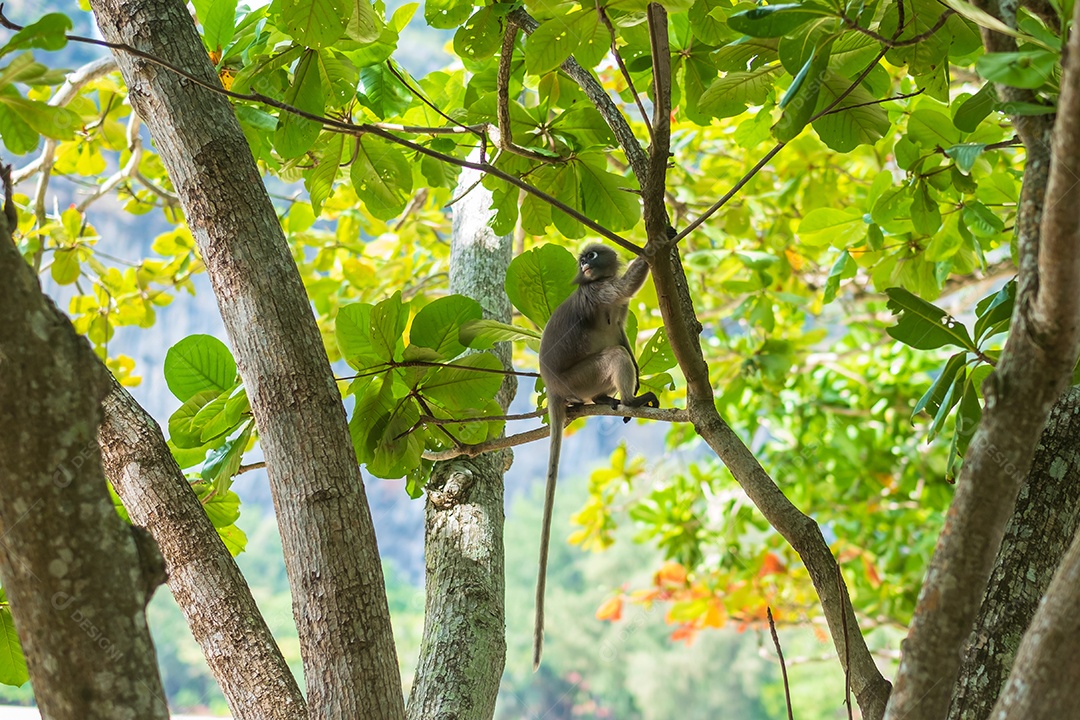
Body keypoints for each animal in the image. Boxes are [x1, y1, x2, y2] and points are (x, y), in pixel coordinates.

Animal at [531, 241, 656, 669]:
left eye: (591, 257)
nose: (584, 265)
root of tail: (553, 388)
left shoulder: (616, 307)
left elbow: (624, 335)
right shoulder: (600, 293)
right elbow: (630, 282)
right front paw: (660, 241)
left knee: (619, 350)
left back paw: (609, 399)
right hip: (580, 379)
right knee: (614, 355)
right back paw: (630, 400)